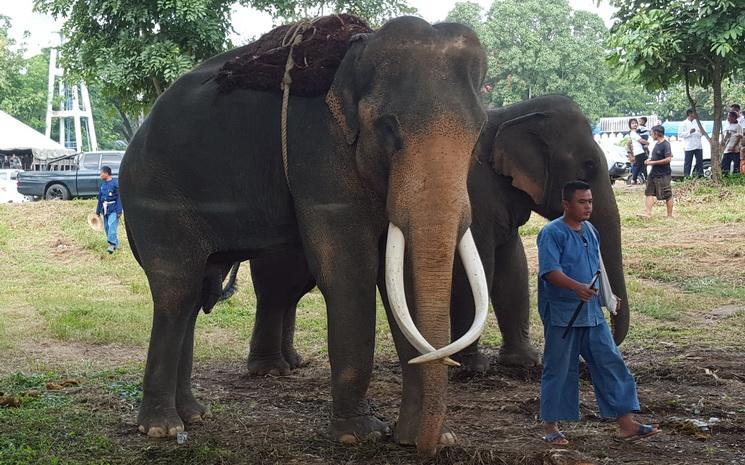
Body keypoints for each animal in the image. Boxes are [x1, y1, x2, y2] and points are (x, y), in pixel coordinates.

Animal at [120, 16, 492, 454]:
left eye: (479, 132)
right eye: (388, 128)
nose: (429, 445)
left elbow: (399, 281)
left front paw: (417, 438)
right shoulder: (319, 154)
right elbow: (349, 273)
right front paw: (359, 434)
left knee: (195, 295)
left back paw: (193, 415)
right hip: (154, 199)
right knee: (177, 293)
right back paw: (161, 427)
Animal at [227, 94, 628, 376]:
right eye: (588, 166)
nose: (611, 326)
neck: (507, 115)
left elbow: (512, 267)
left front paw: (526, 362)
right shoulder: (469, 197)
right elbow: (475, 269)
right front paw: (471, 368)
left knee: (291, 292)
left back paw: (293, 363)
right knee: (277, 291)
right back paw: (270, 370)